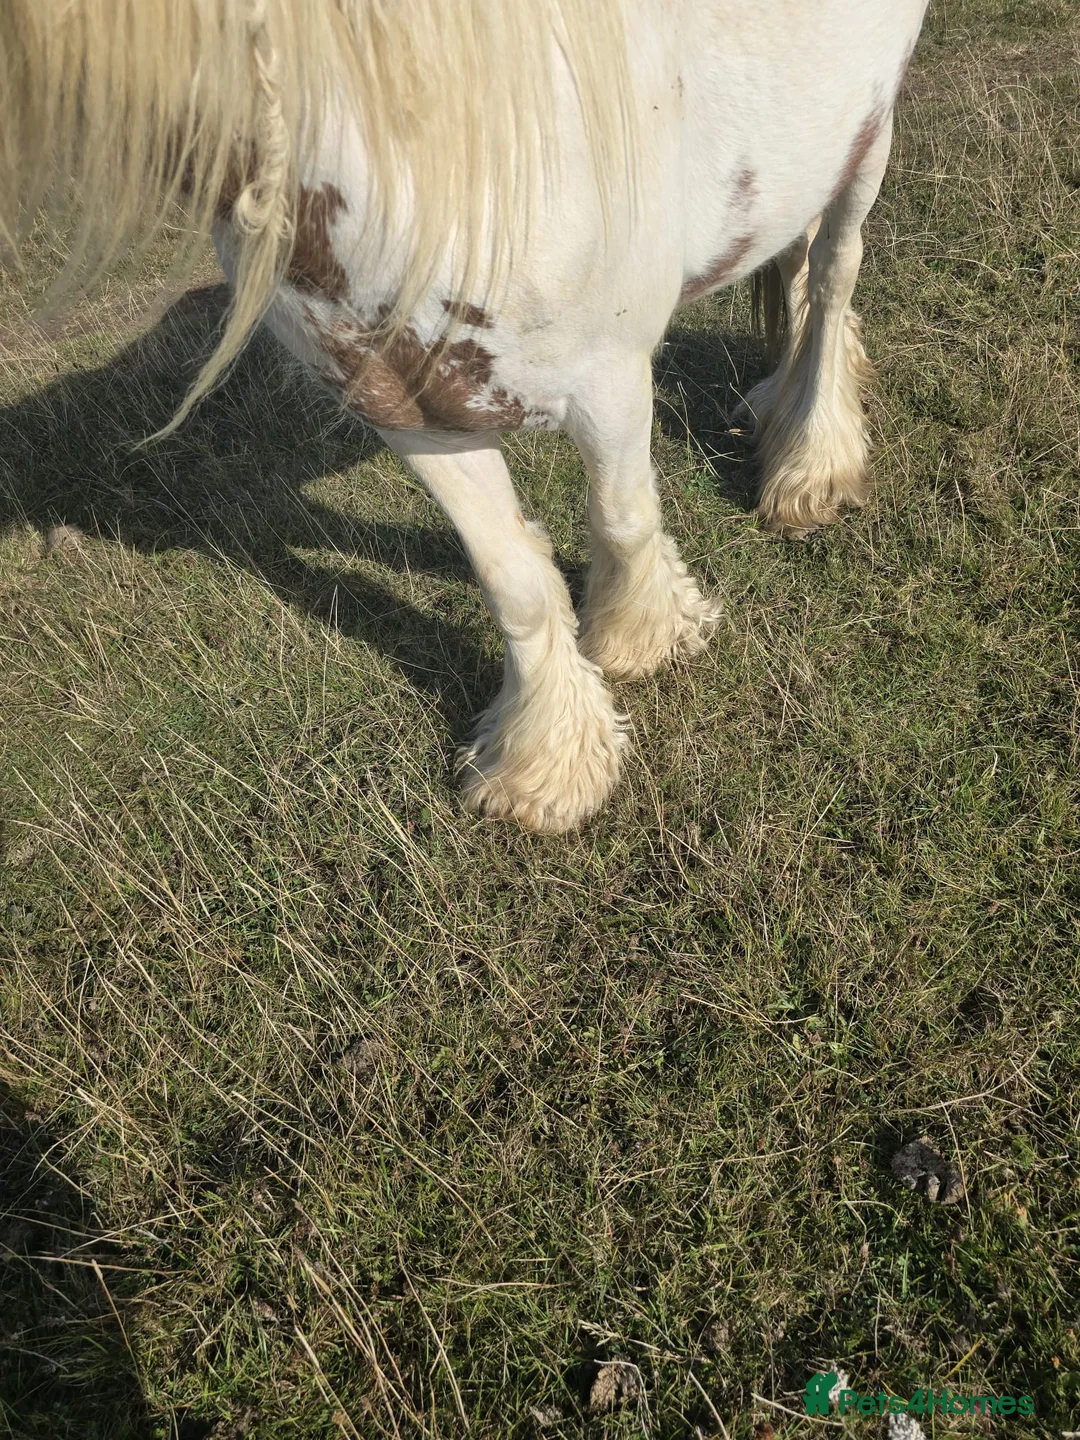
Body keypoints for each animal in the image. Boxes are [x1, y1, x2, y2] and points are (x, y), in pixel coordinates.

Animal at [0, 0, 929, 832]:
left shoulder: (610, 380)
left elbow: (622, 520)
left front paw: (642, 642)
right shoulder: (411, 412)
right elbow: (511, 580)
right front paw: (546, 769)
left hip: (869, 129)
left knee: (834, 267)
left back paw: (812, 466)